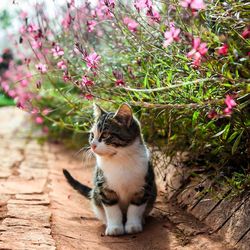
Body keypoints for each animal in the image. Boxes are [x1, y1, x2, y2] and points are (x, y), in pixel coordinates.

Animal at [62, 102, 156, 235]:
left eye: (105, 135)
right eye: (92, 135)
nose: (92, 145)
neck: (120, 159)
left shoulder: (144, 186)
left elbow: (135, 207)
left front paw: (133, 225)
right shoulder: (103, 186)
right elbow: (112, 209)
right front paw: (115, 227)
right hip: (95, 195)